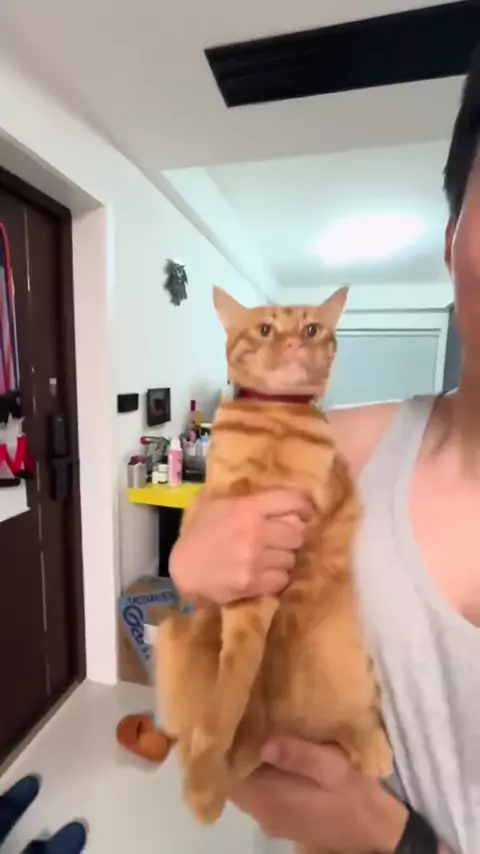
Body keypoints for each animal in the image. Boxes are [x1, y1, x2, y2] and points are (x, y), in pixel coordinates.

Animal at [156, 286, 392, 854]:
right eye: (266, 328)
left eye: (311, 328)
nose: (293, 343)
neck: (276, 424)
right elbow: (232, 691)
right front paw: (209, 777)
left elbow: (244, 681)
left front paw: (217, 769)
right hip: (173, 634)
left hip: (347, 658)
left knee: (334, 726)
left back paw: (366, 744)